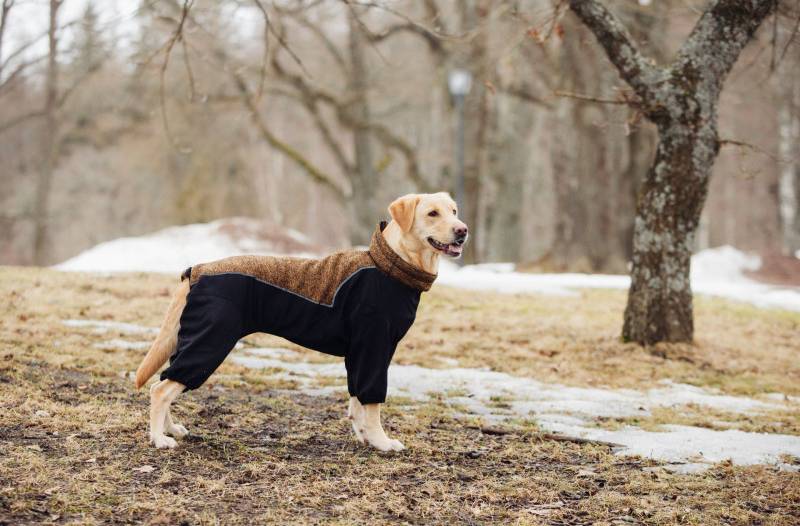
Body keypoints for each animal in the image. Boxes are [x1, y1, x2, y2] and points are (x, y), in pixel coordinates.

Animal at [134, 194, 466, 454]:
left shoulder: (361, 353)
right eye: (432, 213)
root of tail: (196, 271)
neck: (391, 264)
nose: (462, 230)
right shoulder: (373, 347)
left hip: (190, 340)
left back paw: (171, 429)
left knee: (163, 382)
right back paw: (159, 439)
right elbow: (371, 403)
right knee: (161, 390)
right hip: (210, 341)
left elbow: (356, 402)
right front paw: (381, 441)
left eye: (454, 210)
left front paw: (364, 437)